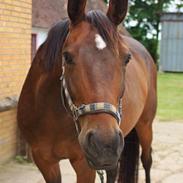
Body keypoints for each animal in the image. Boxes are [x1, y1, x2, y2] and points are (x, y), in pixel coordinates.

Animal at [17, 0, 157, 183]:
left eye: (127, 58)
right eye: (67, 56)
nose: (105, 144)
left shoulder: (84, 165)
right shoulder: (44, 160)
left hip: (145, 126)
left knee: (147, 160)